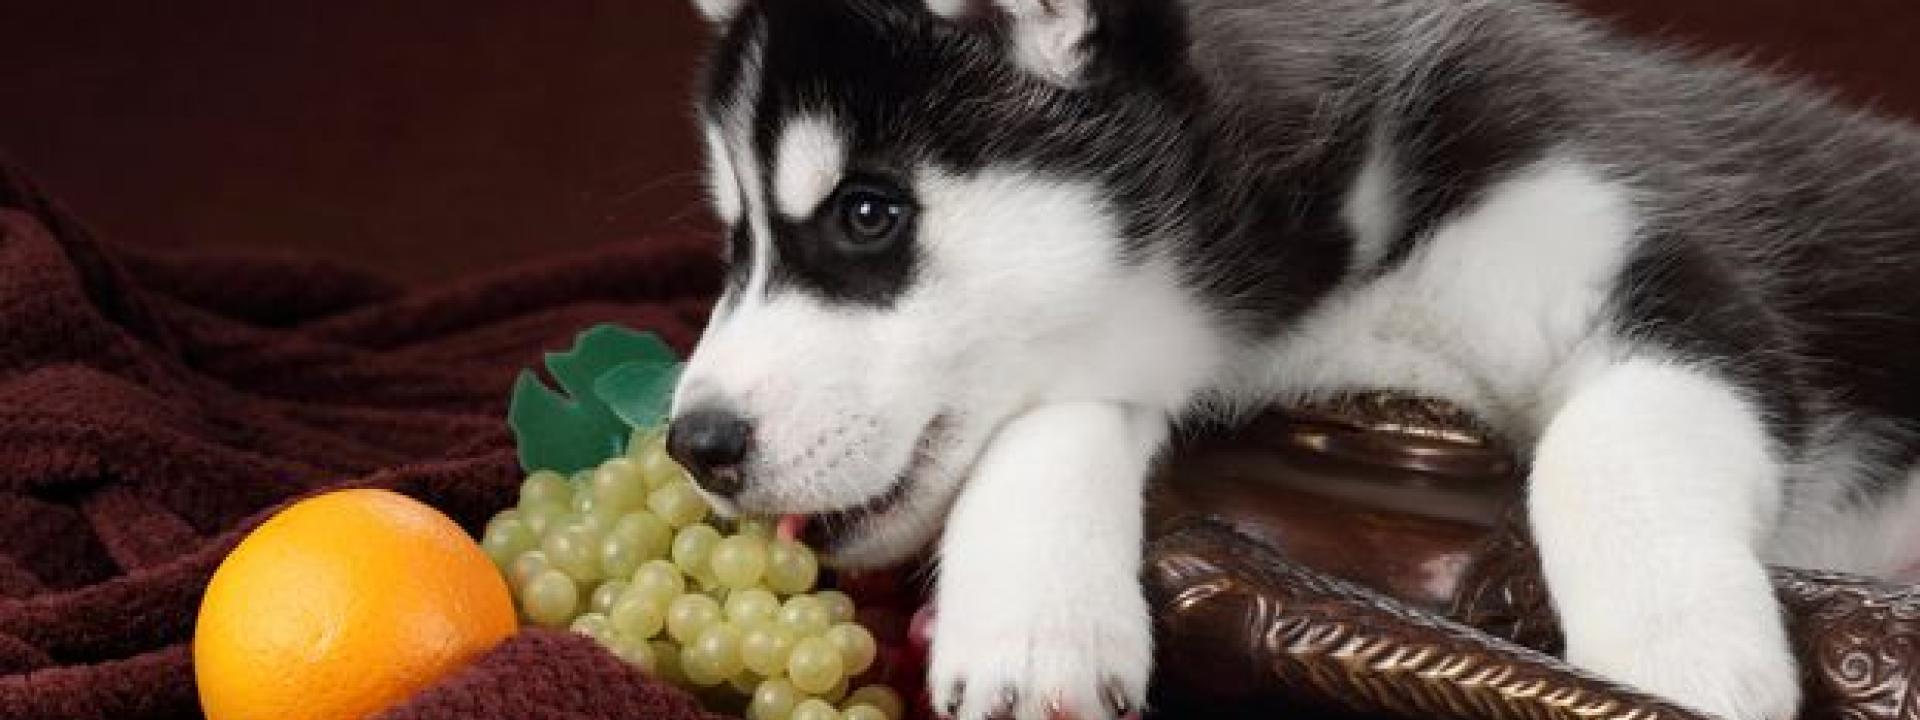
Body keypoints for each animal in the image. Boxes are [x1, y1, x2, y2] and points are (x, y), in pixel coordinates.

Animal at [668, 1, 1920, 720]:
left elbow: (1604, 444)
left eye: (868, 214)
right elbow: (1062, 416)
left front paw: (1681, 656)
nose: (696, 444)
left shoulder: (1657, 259)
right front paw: (1035, 616)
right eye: (737, 240)